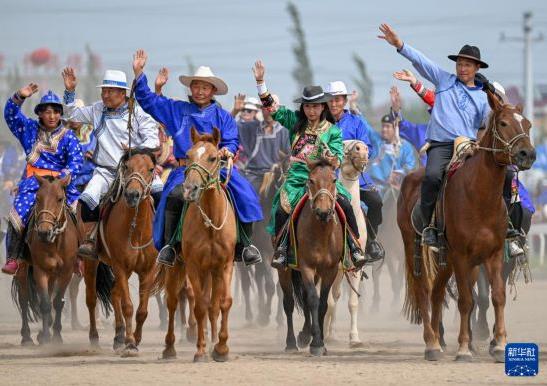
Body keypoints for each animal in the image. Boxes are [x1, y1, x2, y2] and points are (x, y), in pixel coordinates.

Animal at [12, 175, 80, 344]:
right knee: (24, 300)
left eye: (60, 198)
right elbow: (45, 303)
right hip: (23, 268)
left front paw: (56, 336)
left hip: (53, 274)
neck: (54, 242)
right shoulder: (40, 270)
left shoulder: (66, 272)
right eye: (37, 198)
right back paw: (27, 337)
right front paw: (47, 338)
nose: (44, 232)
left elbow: (57, 302)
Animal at [83, 149, 158, 356]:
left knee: (114, 293)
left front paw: (135, 339)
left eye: (151, 169)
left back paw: (118, 337)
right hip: (90, 263)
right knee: (91, 299)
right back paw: (95, 338)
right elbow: (128, 306)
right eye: (127, 167)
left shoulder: (148, 269)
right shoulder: (120, 266)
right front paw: (130, 343)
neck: (136, 229)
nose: (133, 195)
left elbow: (142, 310)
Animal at [155, 128, 239, 364]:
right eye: (189, 156)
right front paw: (201, 350)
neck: (210, 223)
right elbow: (199, 305)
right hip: (177, 267)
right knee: (172, 301)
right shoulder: (194, 266)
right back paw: (169, 348)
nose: (190, 189)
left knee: (212, 306)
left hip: (211, 272)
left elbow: (222, 303)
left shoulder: (225, 265)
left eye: (213, 157)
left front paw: (220, 348)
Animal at [280, 156, 344, 356]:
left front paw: (320, 341)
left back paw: (305, 334)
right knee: (289, 303)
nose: (323, 212)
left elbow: (322, 303)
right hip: (285, 271)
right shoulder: (306, 266)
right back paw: (291, 342)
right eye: (311, 180)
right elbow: (313, 300)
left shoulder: (330, 270)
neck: (321, 234)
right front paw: (316, 343)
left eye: (334, 179)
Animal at [398, 89, 536, 362]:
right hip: (414, 249)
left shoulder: (493, 254)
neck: (479, 195)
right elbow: (465, 301)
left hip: (446, 260)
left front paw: (499, 344)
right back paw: (431, 343)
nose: (528, 154)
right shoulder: (462, 256)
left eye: (527, 124)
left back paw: (438, 343)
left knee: (437, 292)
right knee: (423, 291)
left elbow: (497, 296)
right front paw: (463, 348)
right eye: (503, 123)